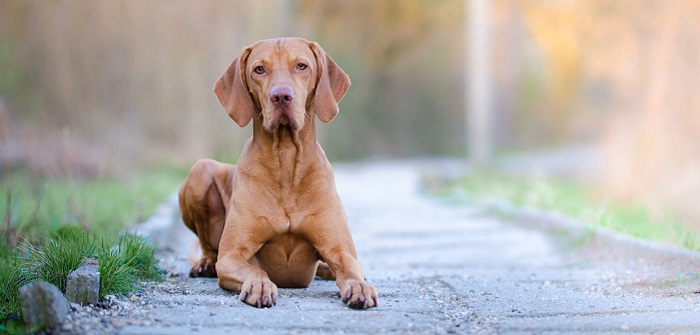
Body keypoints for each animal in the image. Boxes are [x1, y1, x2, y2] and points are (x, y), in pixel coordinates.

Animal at [179, 38, 378, 310]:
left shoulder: (341, 250)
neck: (286, 162)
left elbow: (351, 269)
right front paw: (260, 286)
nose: (281, 96)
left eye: (301, 66)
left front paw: (359, 287)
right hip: (201, 169)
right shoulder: (232, 256)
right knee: (209, 249)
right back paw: (206, 264)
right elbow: (254, 269)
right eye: (259, 69)